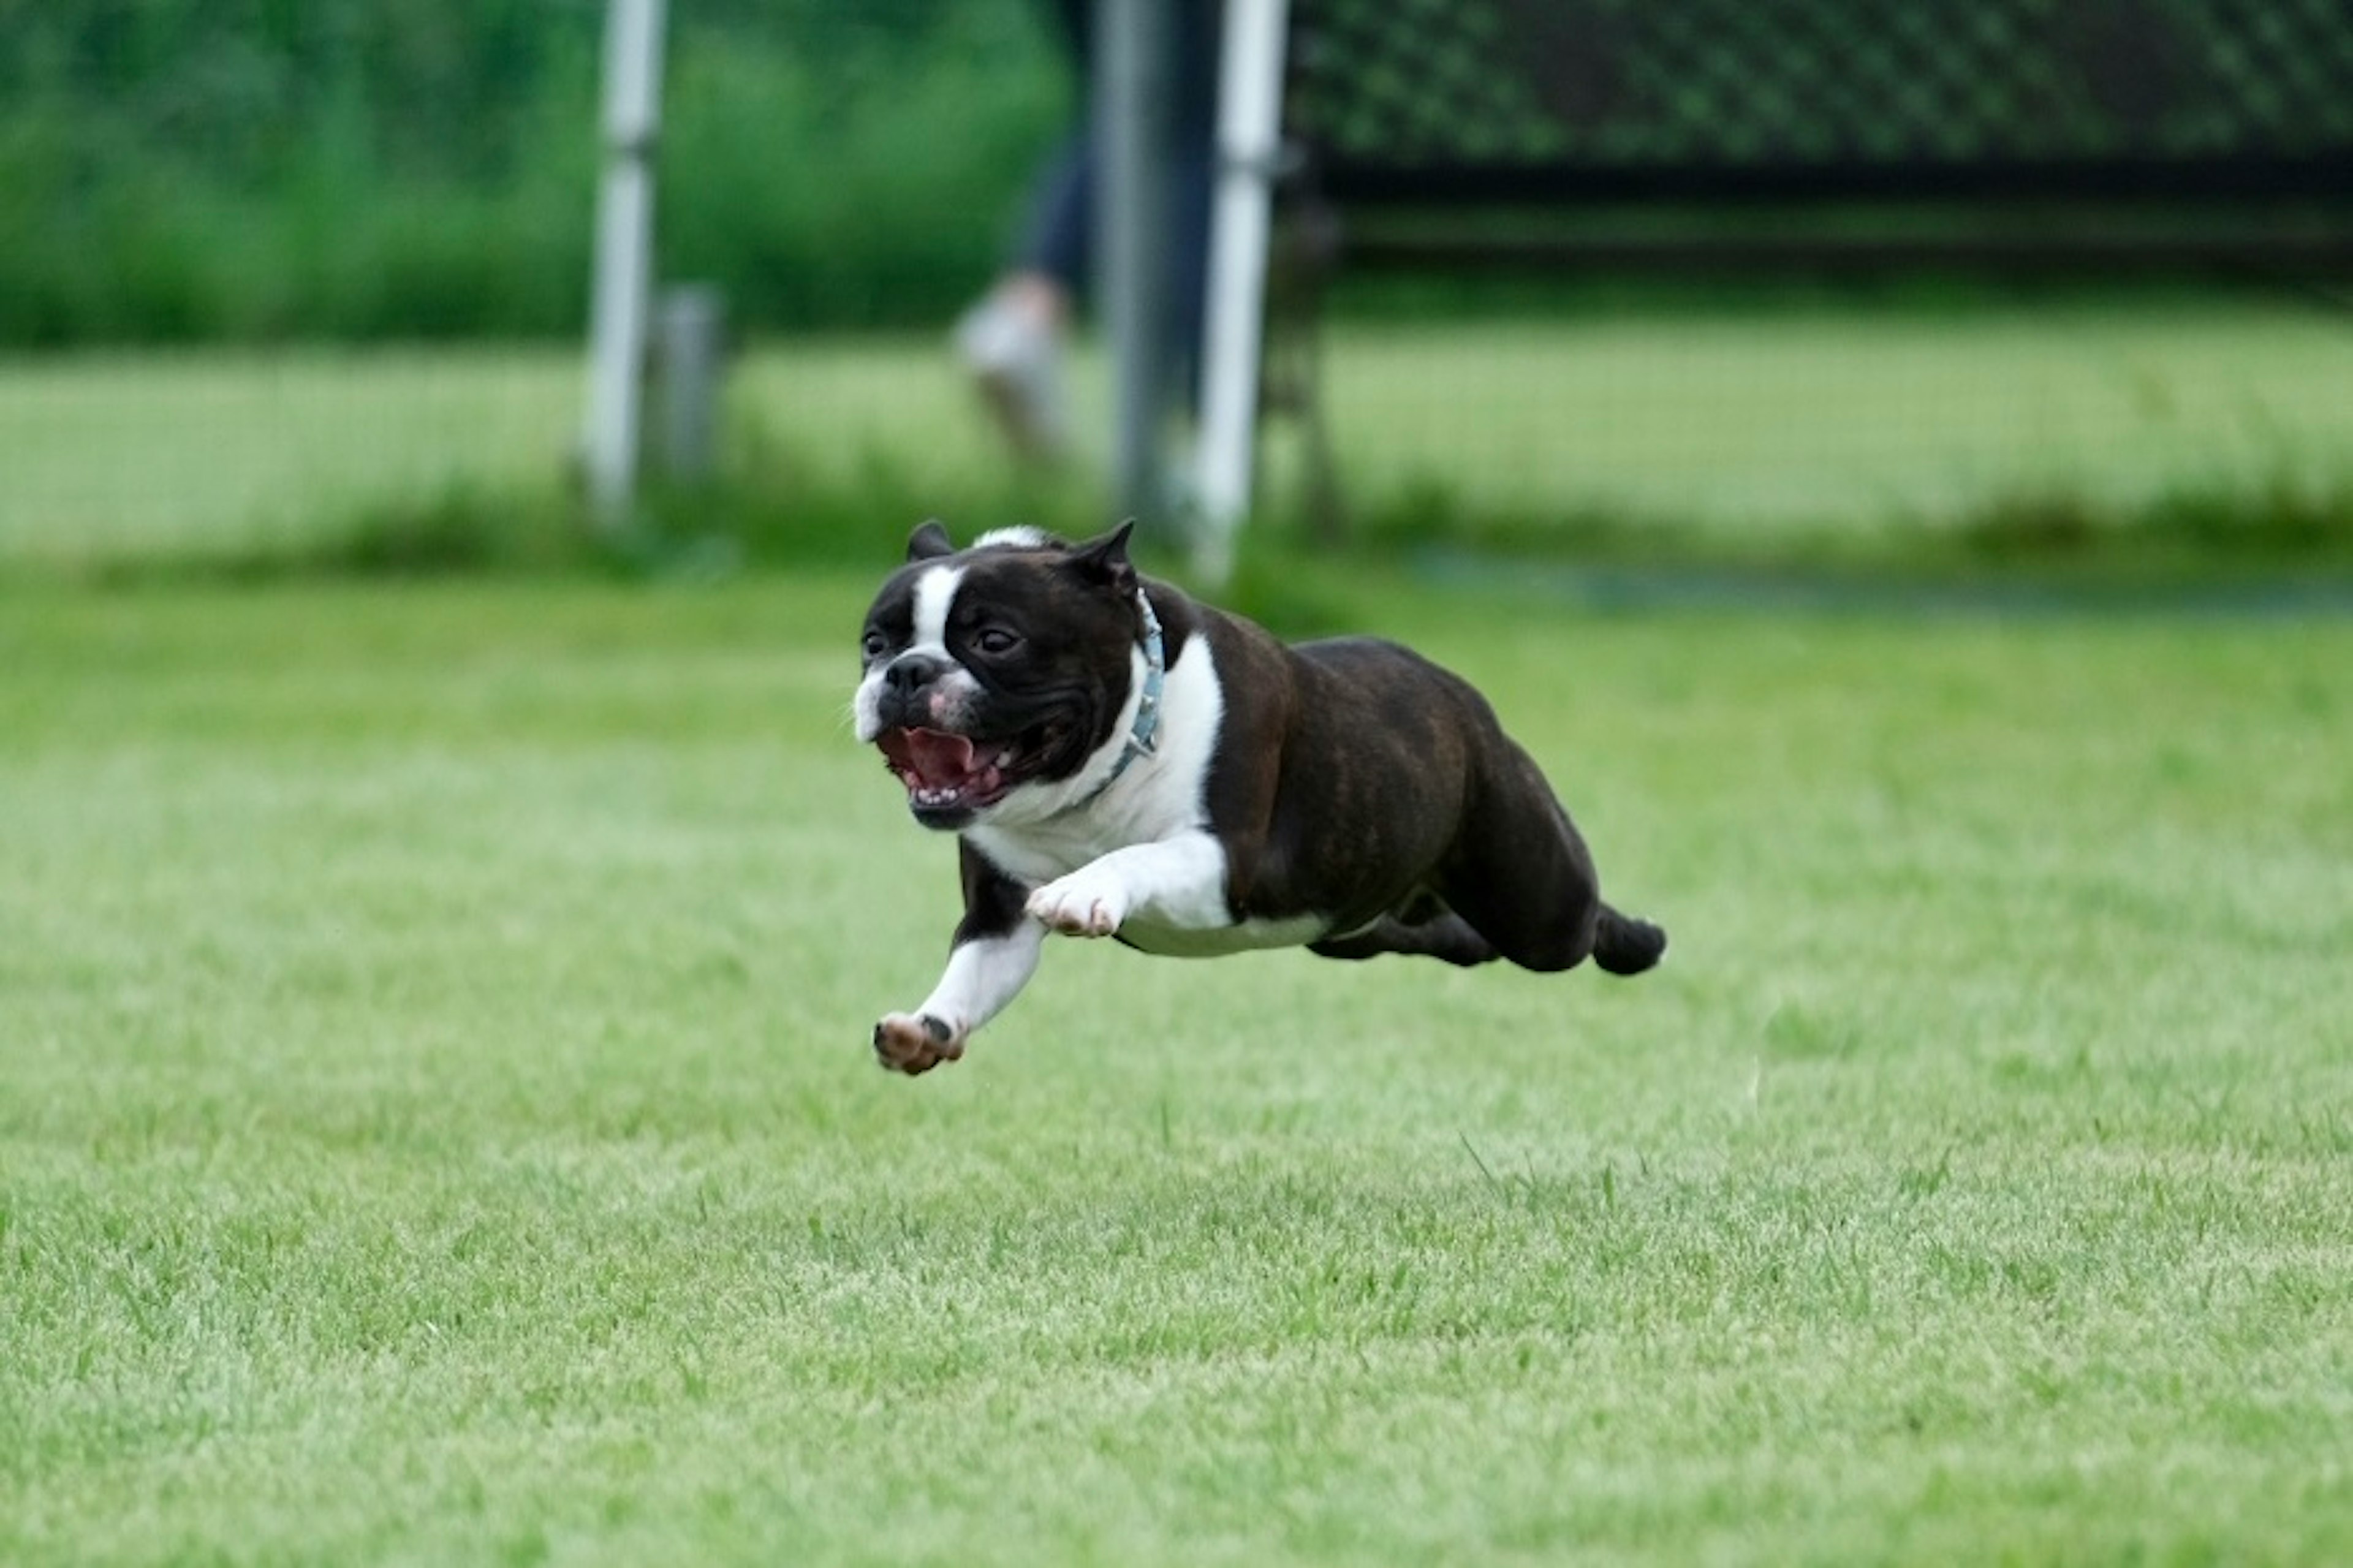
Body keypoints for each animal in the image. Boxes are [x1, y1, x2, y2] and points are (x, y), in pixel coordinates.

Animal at [856, 518, 1665, 1069]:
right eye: (874, 643)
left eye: (996, 641)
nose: (907, 672)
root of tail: (1455, 694)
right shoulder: (999, 919)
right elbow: (971, 975)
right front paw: (926, 1030)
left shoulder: (1225, 865)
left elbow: (1137, 857)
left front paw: (1087, 888)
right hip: (1348, 922)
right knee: (1440, 936)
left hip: (1535, 898)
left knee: (1576, 921)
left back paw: (1638, 941)